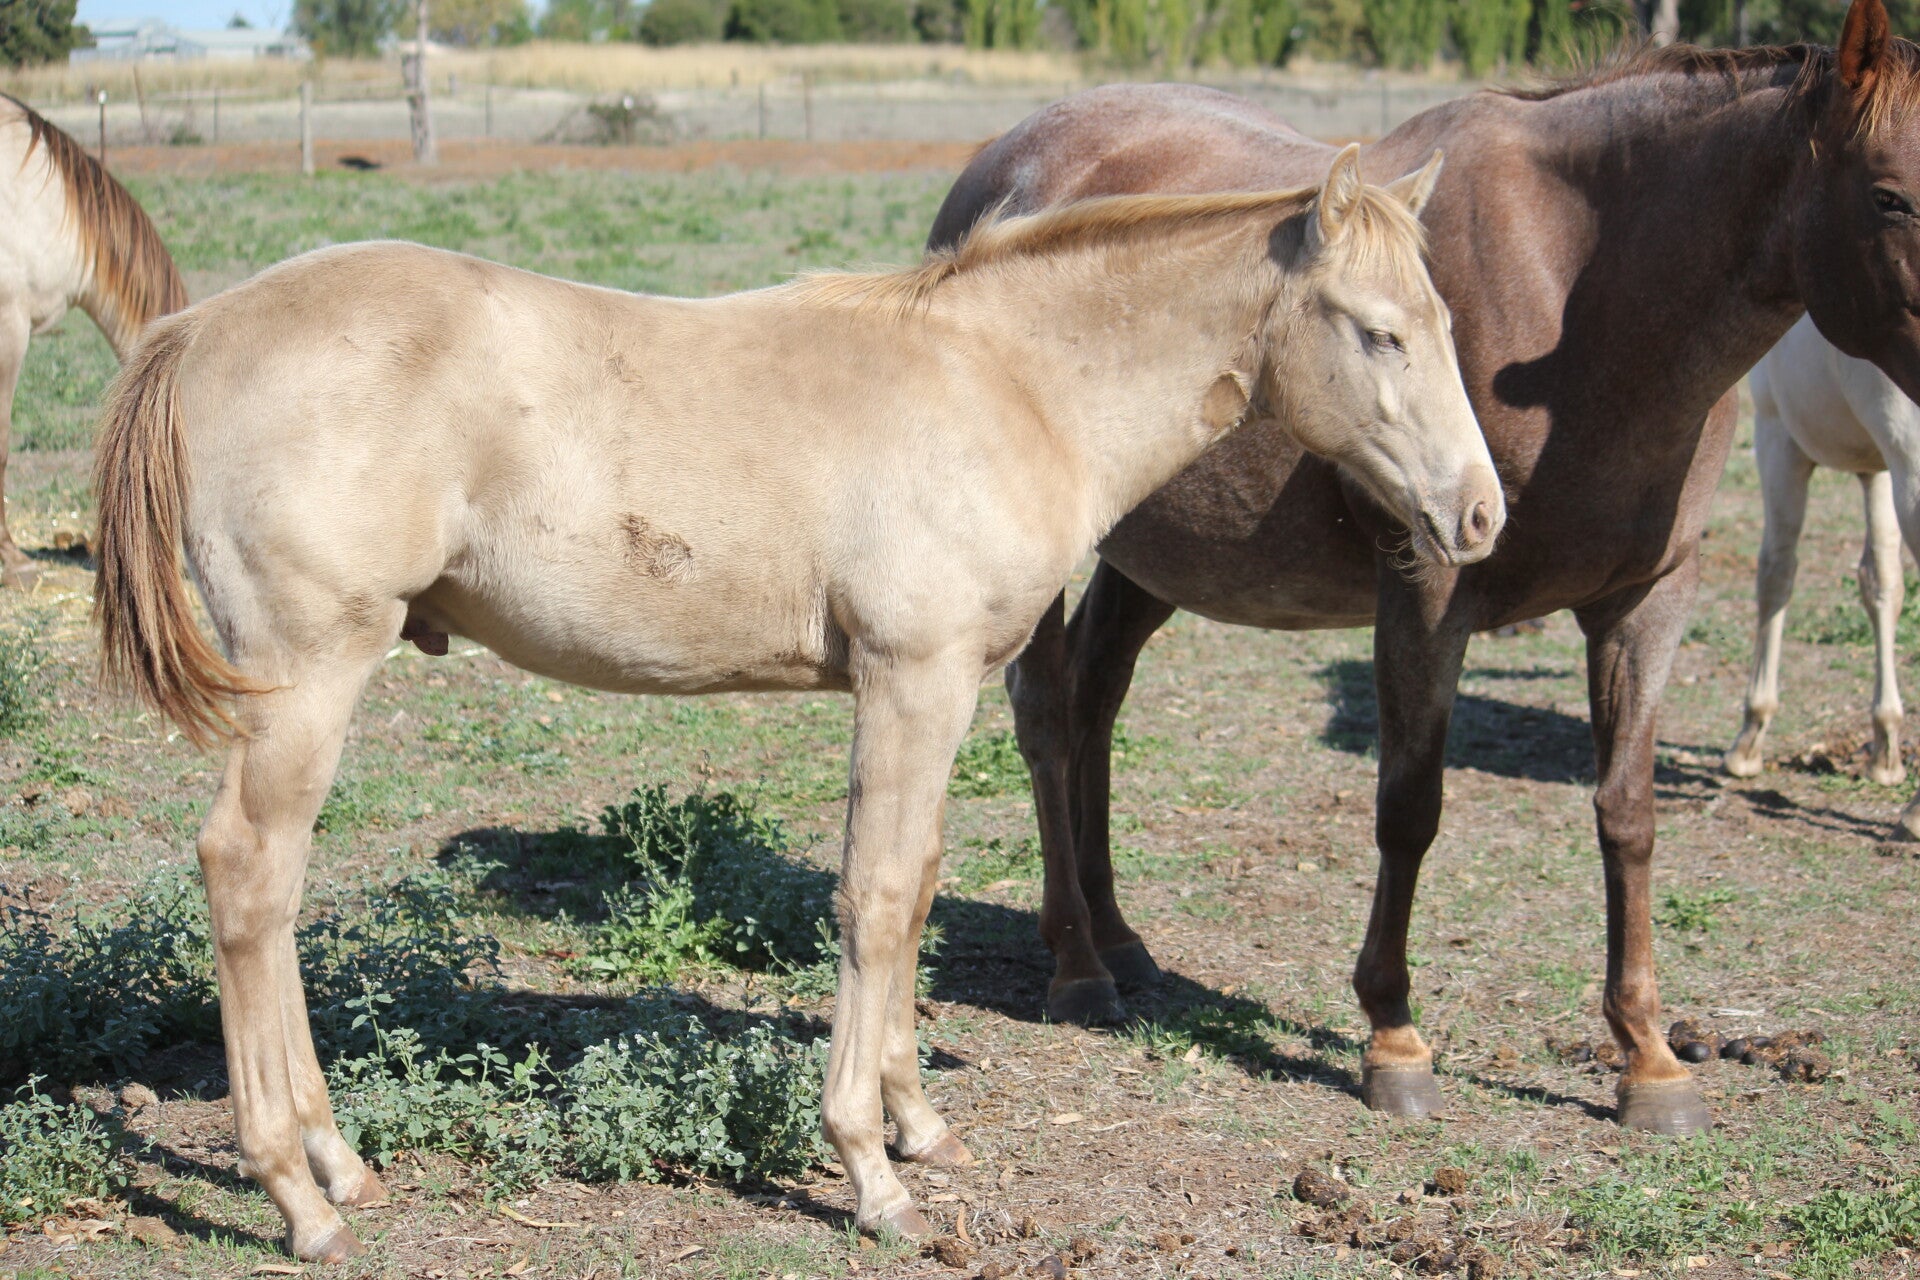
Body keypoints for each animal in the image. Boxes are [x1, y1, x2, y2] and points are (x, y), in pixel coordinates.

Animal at [90, 150, 1503, 1261]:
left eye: (1440, 320)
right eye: (1378, 329)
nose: (1480, 515)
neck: (1009, 381)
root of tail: (195, 330)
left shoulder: (945, 690)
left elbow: (917, 884)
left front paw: (921, 1123)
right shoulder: (909, 676)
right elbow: (872, 899)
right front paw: (870, 1172)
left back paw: (341, 1161)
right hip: (308, 675)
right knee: (247, 877)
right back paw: (298, 1193)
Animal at [1725, 313, 1920, 834]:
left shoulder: (1777, 437)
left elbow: (1776, 573)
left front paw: (1750, 735)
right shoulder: (1879, 468)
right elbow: (1881, 582)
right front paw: (1885, 751)